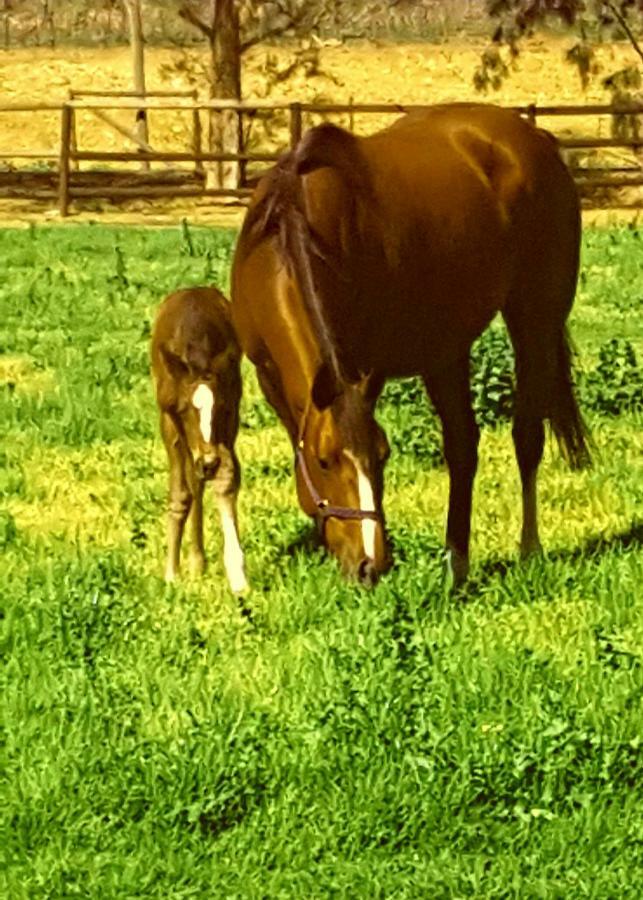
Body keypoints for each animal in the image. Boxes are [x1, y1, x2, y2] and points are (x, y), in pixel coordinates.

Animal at [152, 288, 250, 596]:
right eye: (184, 409)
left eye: (220, 409)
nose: (209, 461)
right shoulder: (169, 418)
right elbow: (180, 494)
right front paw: (171, 574)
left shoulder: (231, 409)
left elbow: (225, 478)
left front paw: (237, 575)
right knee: (192, 482)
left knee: (199, 481)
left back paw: (198, 561)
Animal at [230, 105, 588, 588]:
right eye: (324, 462)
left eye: (383, 457)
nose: (370, 565)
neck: (290, 230)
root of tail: (537, 139)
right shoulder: (272, 378)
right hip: (446, 348)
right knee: (462, 446)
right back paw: (456, 563)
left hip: (534, 321)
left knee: (526, 436)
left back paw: (528, 550)